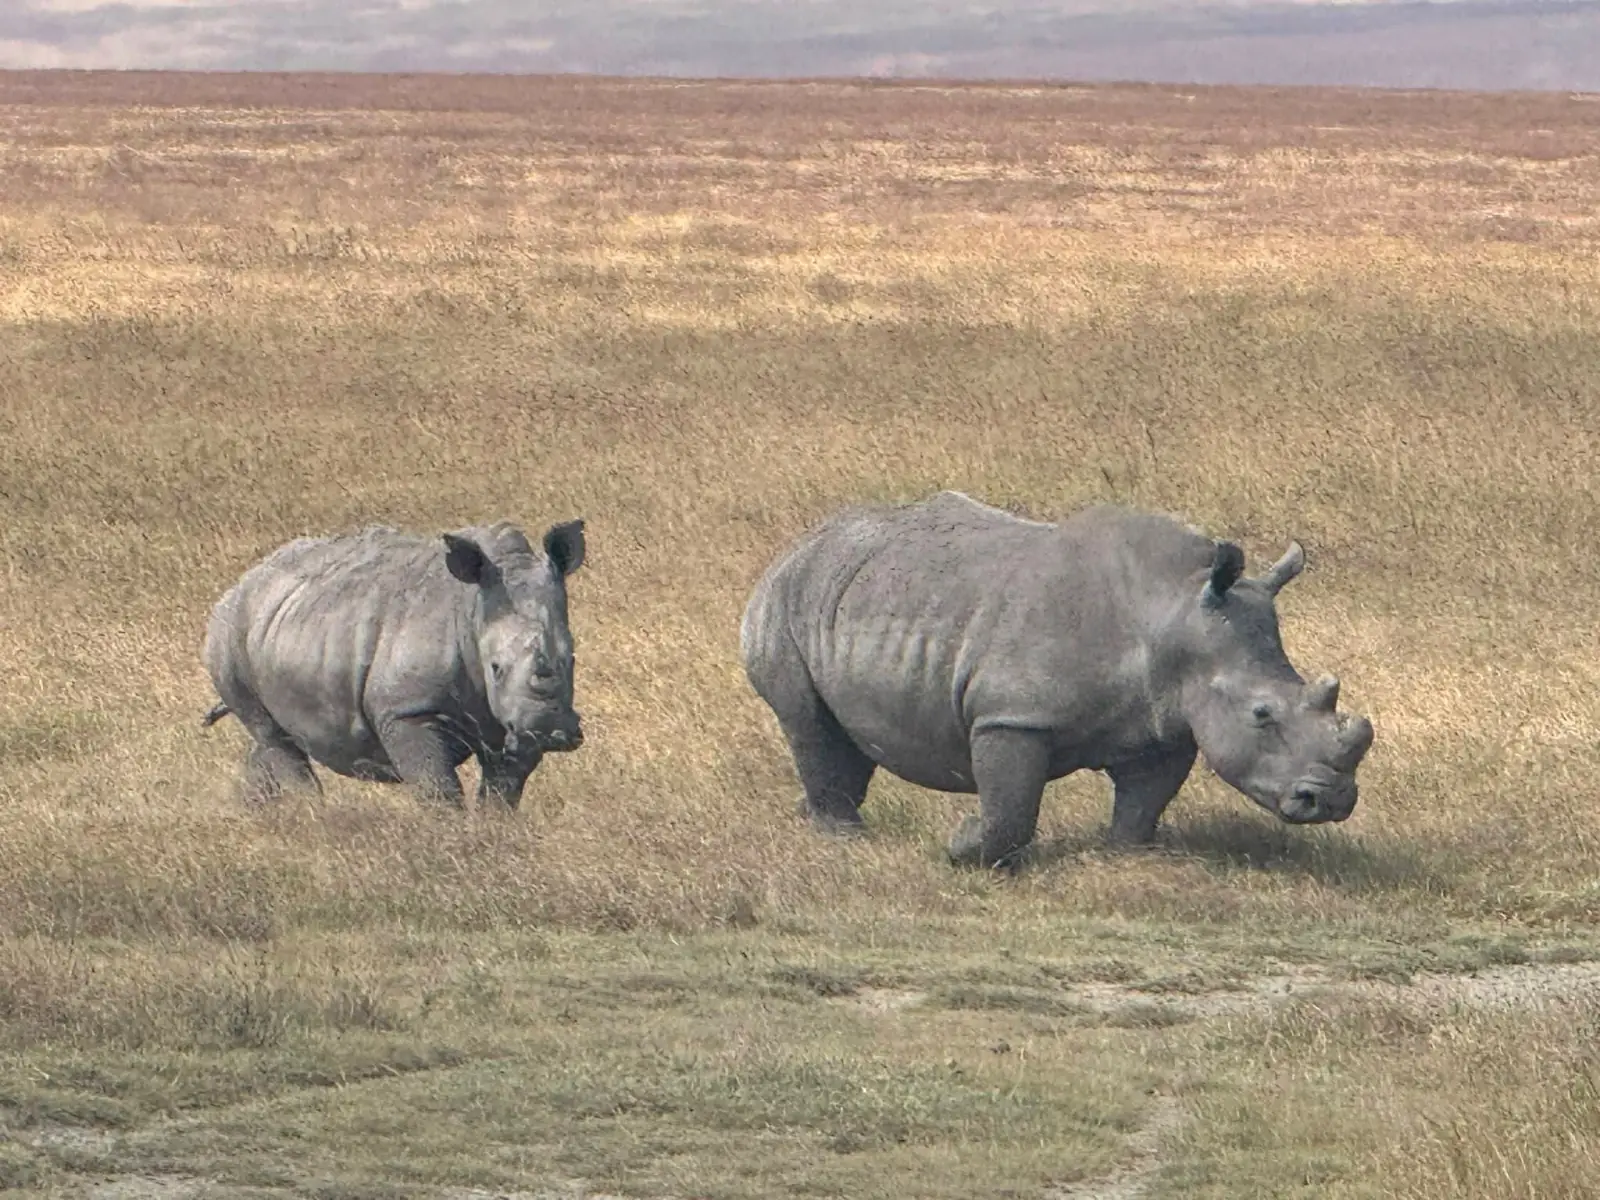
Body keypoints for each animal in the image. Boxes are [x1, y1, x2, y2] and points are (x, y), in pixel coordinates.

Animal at [201, 518, 587, 809]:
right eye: (495, 667)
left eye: (571, 660)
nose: (549, 729)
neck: (471, 610)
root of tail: (243, 580)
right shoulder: (407, 711)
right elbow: (437, 789)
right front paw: (452, 841)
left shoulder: (511, 722)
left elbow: (503, 789)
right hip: (228, 633)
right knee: (272, 735)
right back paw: (313, 816)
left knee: (271, 737)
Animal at [740, 491, 1375, 870]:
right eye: (1262, 716)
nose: (1332, 801)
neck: (1173, 611)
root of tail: (800, 544)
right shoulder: (1013, 715)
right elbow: (1012, 809)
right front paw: (964, 845)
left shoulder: (1166, 721)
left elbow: (1145, 800)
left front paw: (1126, 856)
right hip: (786, 599)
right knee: (806, 722)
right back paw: (844, 838)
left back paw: (813, 818)